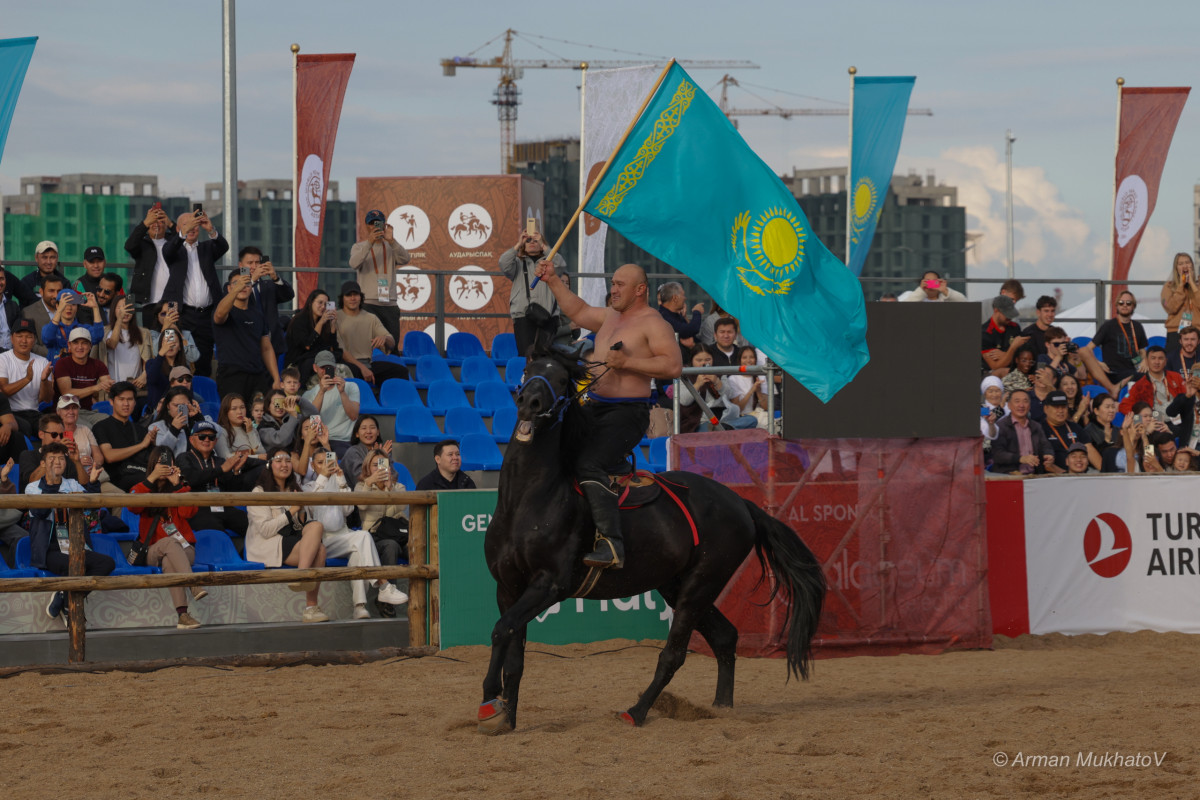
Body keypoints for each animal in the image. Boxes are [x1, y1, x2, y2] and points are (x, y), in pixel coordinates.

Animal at [477, 345, 825, 734]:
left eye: (561, 378)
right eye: (529, 369)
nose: (530, 402)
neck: (530, 499)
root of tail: (740, 502)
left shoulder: (548, 585)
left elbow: (500, 630)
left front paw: (489, 703)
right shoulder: (509, 587)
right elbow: (512, 650)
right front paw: (506, 715)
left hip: (700, 586)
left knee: (673, 654)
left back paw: (638, 710)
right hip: (677, 585)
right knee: (725, 636)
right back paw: (721, 707)